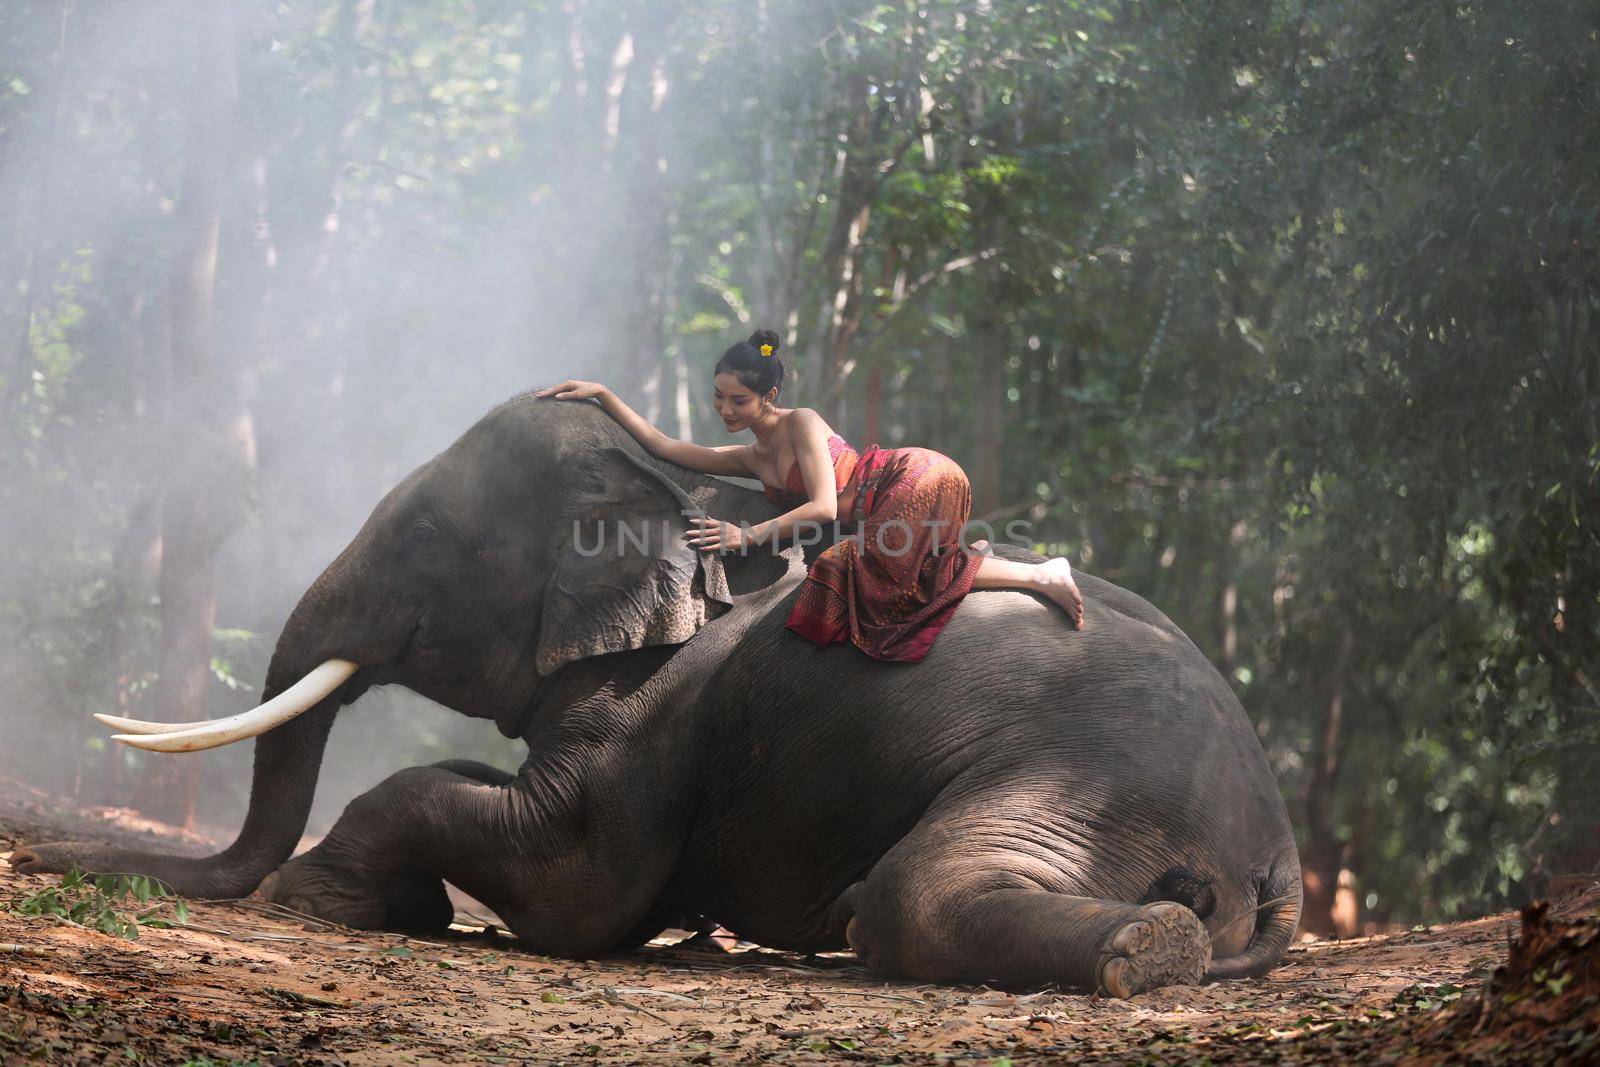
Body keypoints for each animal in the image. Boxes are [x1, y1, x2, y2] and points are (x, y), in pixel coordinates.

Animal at [15, 395, 1299, 1004]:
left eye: (426, 539)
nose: (34, 857)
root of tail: (1272, 834)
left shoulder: (649, 720)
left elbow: (575, 884)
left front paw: (320, 895)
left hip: (1089, 776)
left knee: (918, 891)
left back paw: (1147, 947)